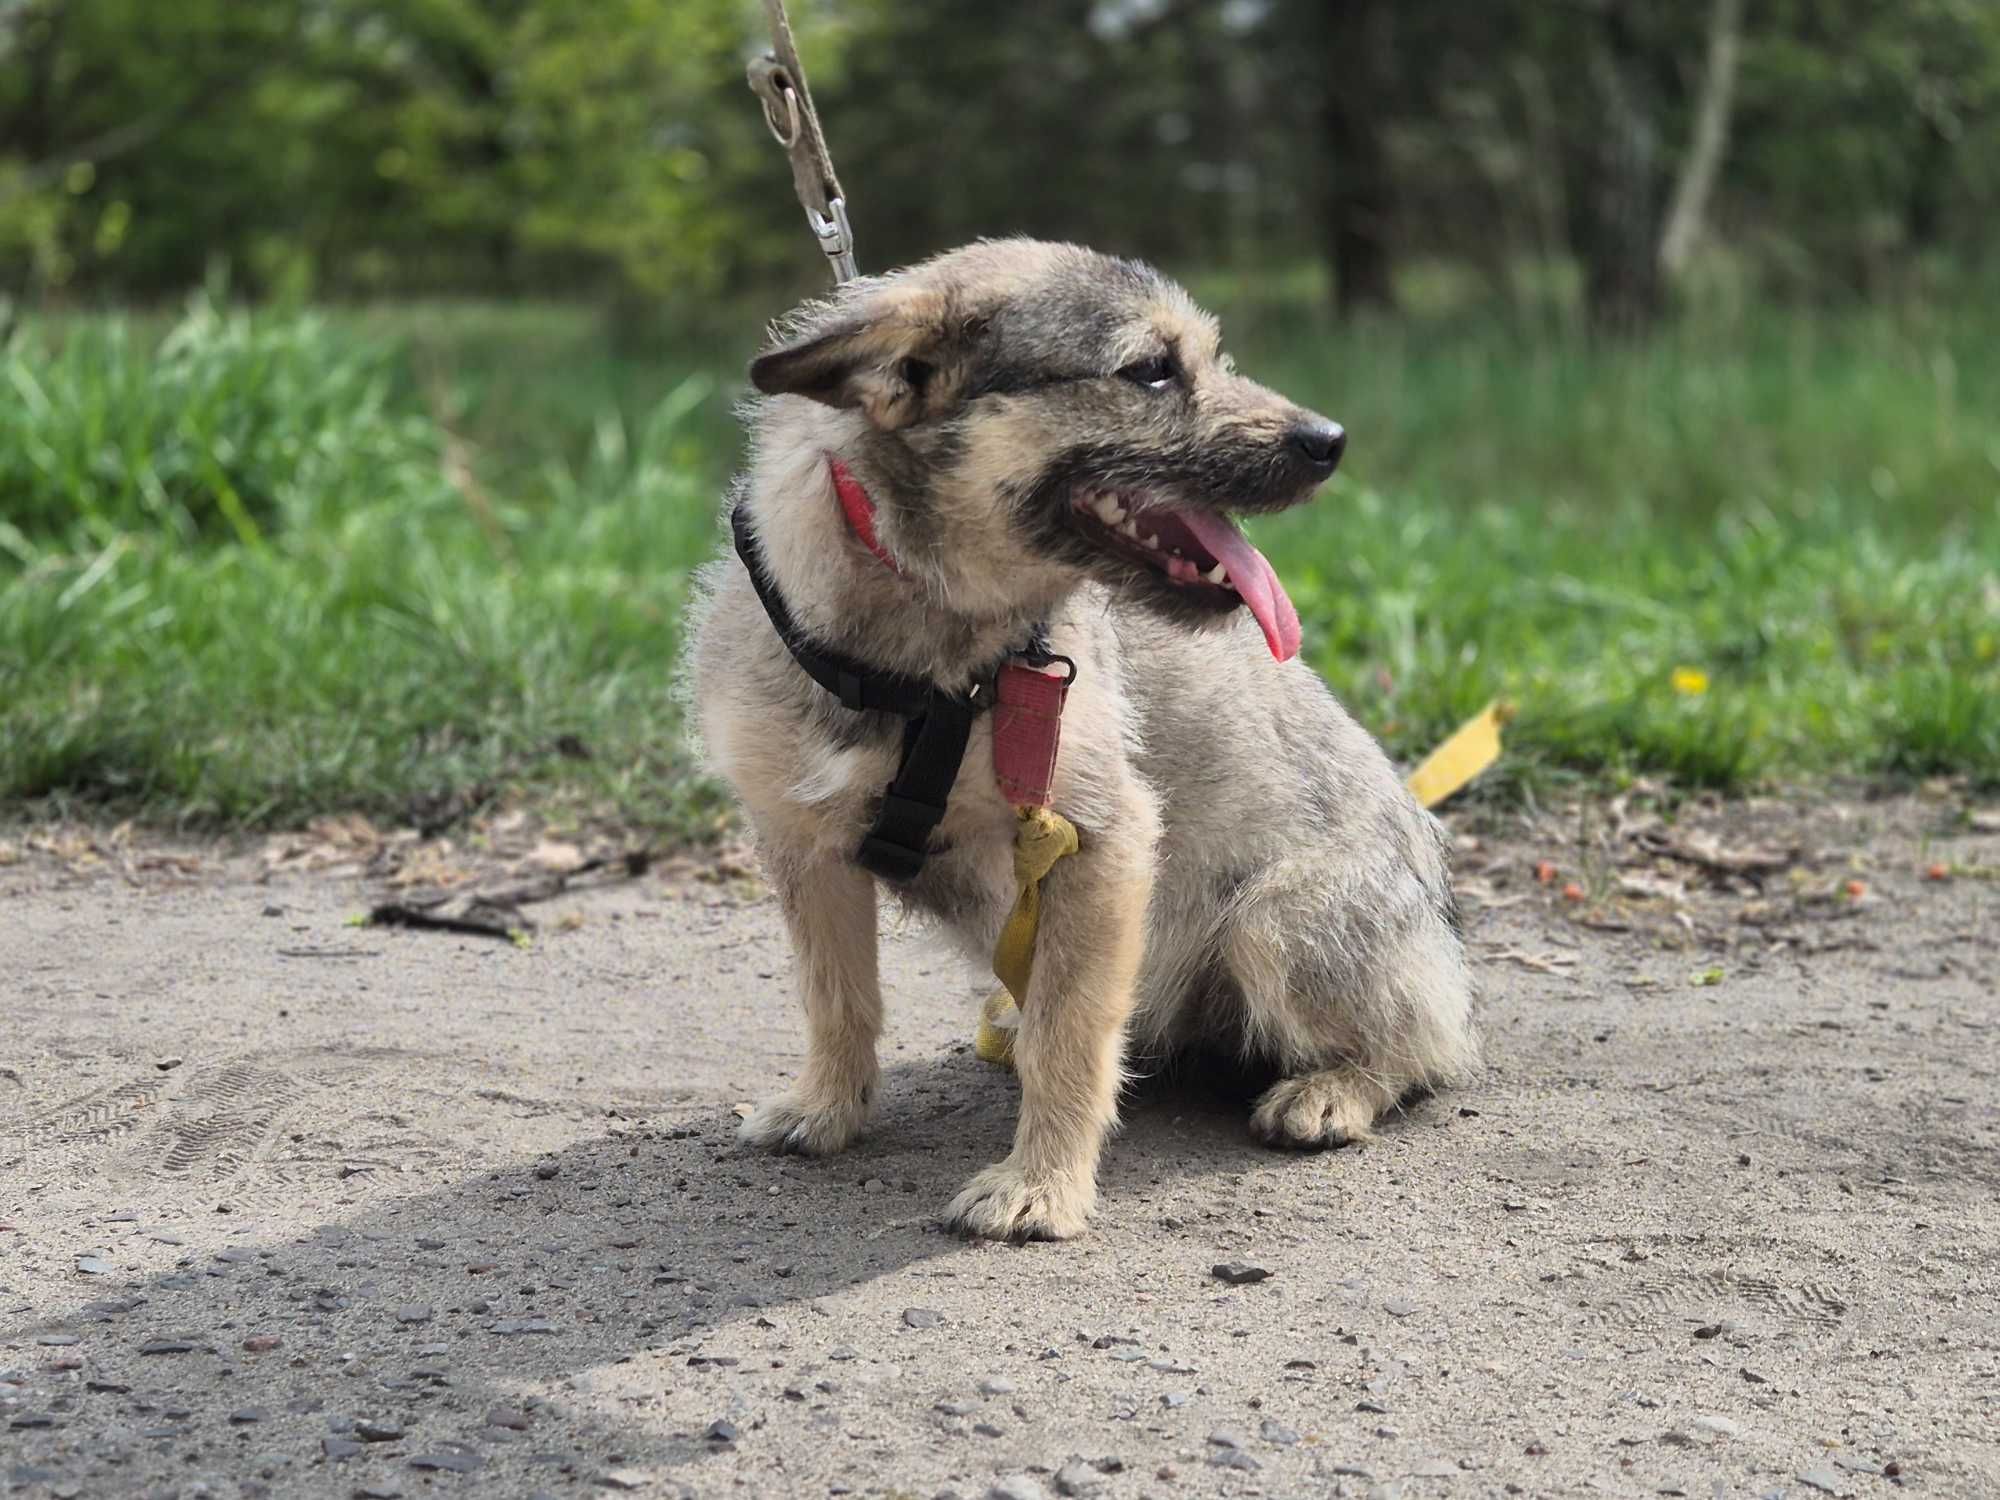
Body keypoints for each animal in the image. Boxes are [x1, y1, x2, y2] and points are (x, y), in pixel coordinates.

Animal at [684, 241, 1472, 1240]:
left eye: (1206, 355)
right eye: (1151, 371)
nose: (1331, 441)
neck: (928, 657)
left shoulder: (1097, 844)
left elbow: (1070, 1038)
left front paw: (1041, 1185)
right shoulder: (803, 845)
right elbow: (838, 996)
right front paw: (828, 1108)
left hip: (1277, 920)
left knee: (1431, 1048)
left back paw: (1332, 1090)